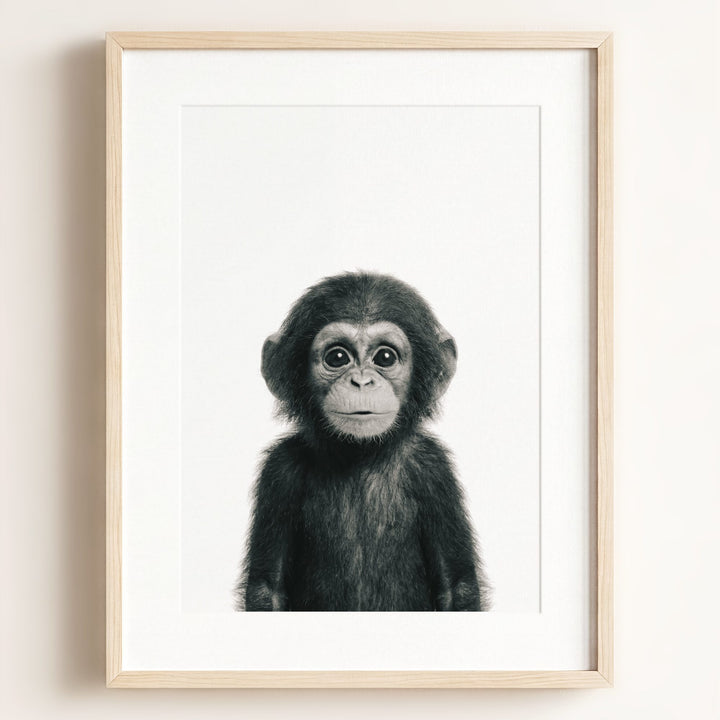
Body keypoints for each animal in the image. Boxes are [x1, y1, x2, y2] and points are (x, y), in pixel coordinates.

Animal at [236, 271, 490, 611]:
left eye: (385, 357)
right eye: (337, 357)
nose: (361, 381)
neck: (360, 454)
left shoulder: (434, 469)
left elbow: (457, 587)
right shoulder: (279, 471)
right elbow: (267, 589)